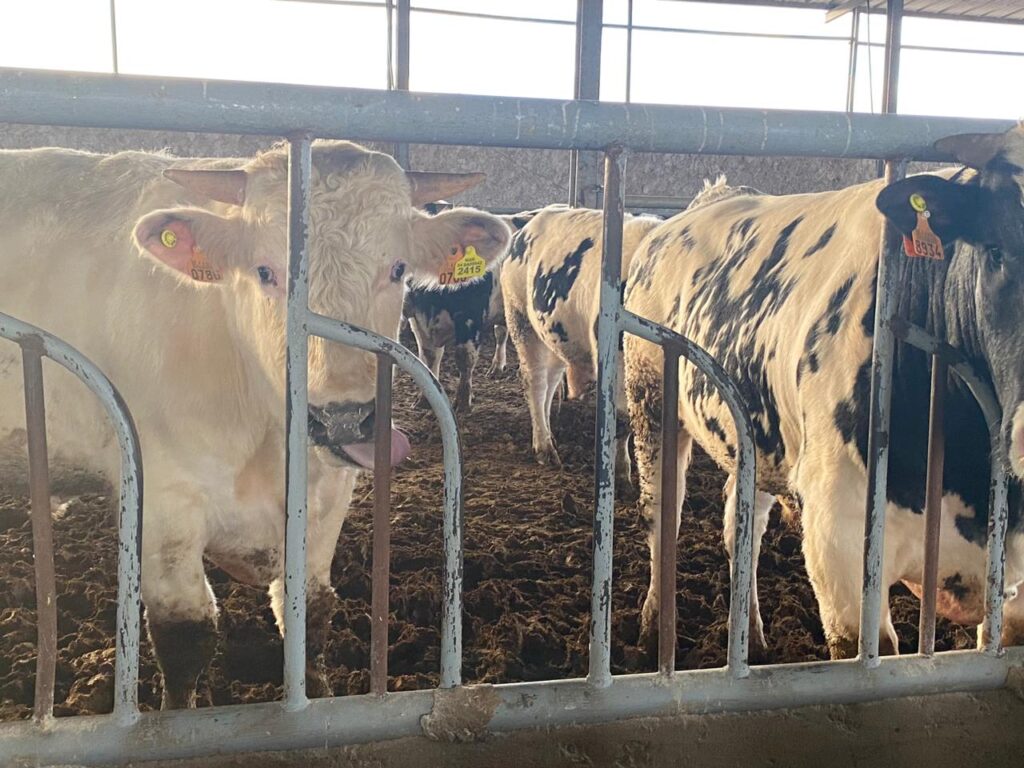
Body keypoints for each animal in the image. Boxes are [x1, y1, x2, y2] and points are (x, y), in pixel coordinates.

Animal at [0, 142, 511, 707]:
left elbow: (309, 612)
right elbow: (184, 636)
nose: (344, 417)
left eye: (398, 268)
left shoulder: (328, 497)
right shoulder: (164, 505)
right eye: (265, 272)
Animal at [404, 204, 546, 413]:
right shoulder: (419, 320)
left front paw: (463, 401)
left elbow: (464, 357)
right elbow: (428, 358)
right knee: (502, 333)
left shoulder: (470, 316)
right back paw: (497, 367)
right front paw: (424, 399)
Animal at [500, 206, 662, 487]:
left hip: (555, 335)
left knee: (550, 382)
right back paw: (544, 448)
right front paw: (620, 474)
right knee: (535, 382)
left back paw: (550, 435)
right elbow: (622, 419)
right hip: (519, 317)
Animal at [624, 125, 1024, 660]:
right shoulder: (841, 545)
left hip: (756, 439)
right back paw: (652, 630)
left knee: (742, 525)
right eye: (996, 251)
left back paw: (750, 637)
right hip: (648, 396)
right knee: (661, 512)